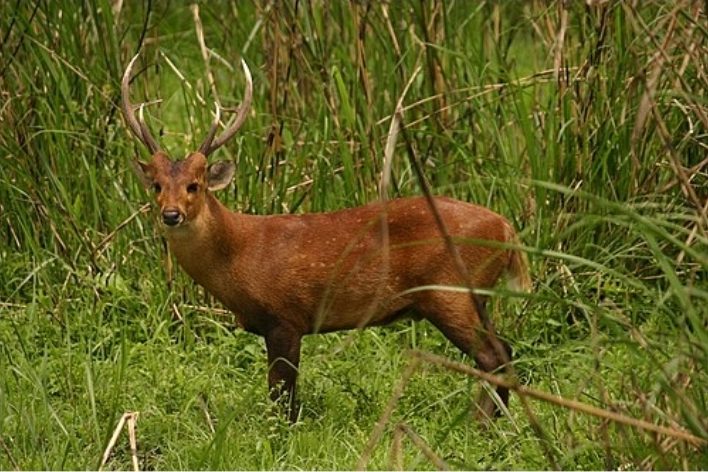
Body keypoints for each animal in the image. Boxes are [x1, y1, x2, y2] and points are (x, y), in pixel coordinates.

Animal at [121, 53, 531, 423]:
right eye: (157, 185)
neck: (240, 255)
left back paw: (483, 426)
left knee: (497, 355)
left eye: (196, 185)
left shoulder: (285, 315)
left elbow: (282, 397)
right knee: (502, 352)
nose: (171, 214)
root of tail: (506, 227)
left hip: (451, 291)